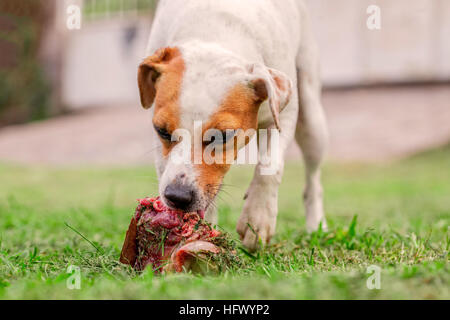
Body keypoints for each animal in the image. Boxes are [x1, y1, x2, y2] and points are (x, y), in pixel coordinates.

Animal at [137, 0, 326, 250]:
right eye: (162, 131)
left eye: (221, 136)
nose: (177, 196)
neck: (213, 30)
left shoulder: (282, 114)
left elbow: (270, 166)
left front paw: (257, 219)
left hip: (312, 121)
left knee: (313, 181)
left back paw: (316, 225)